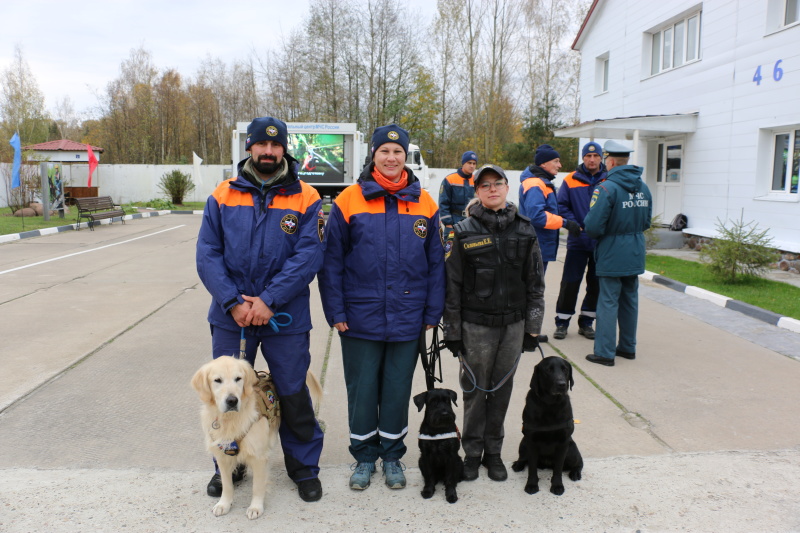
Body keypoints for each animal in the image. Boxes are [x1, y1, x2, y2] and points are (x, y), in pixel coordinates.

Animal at [512, 356, 580, 492]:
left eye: (565, 370)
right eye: (548, 370)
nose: (562, 385)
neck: (550, 404)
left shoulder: (563, 443)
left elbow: (558, 468)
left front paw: (557, 486)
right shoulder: (531, 441)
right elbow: (532, 468)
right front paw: (531, 485)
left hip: (571, 450)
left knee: (579, 462)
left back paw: (575, 472)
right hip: (523, 443)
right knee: (523, 458)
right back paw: (518, 464)